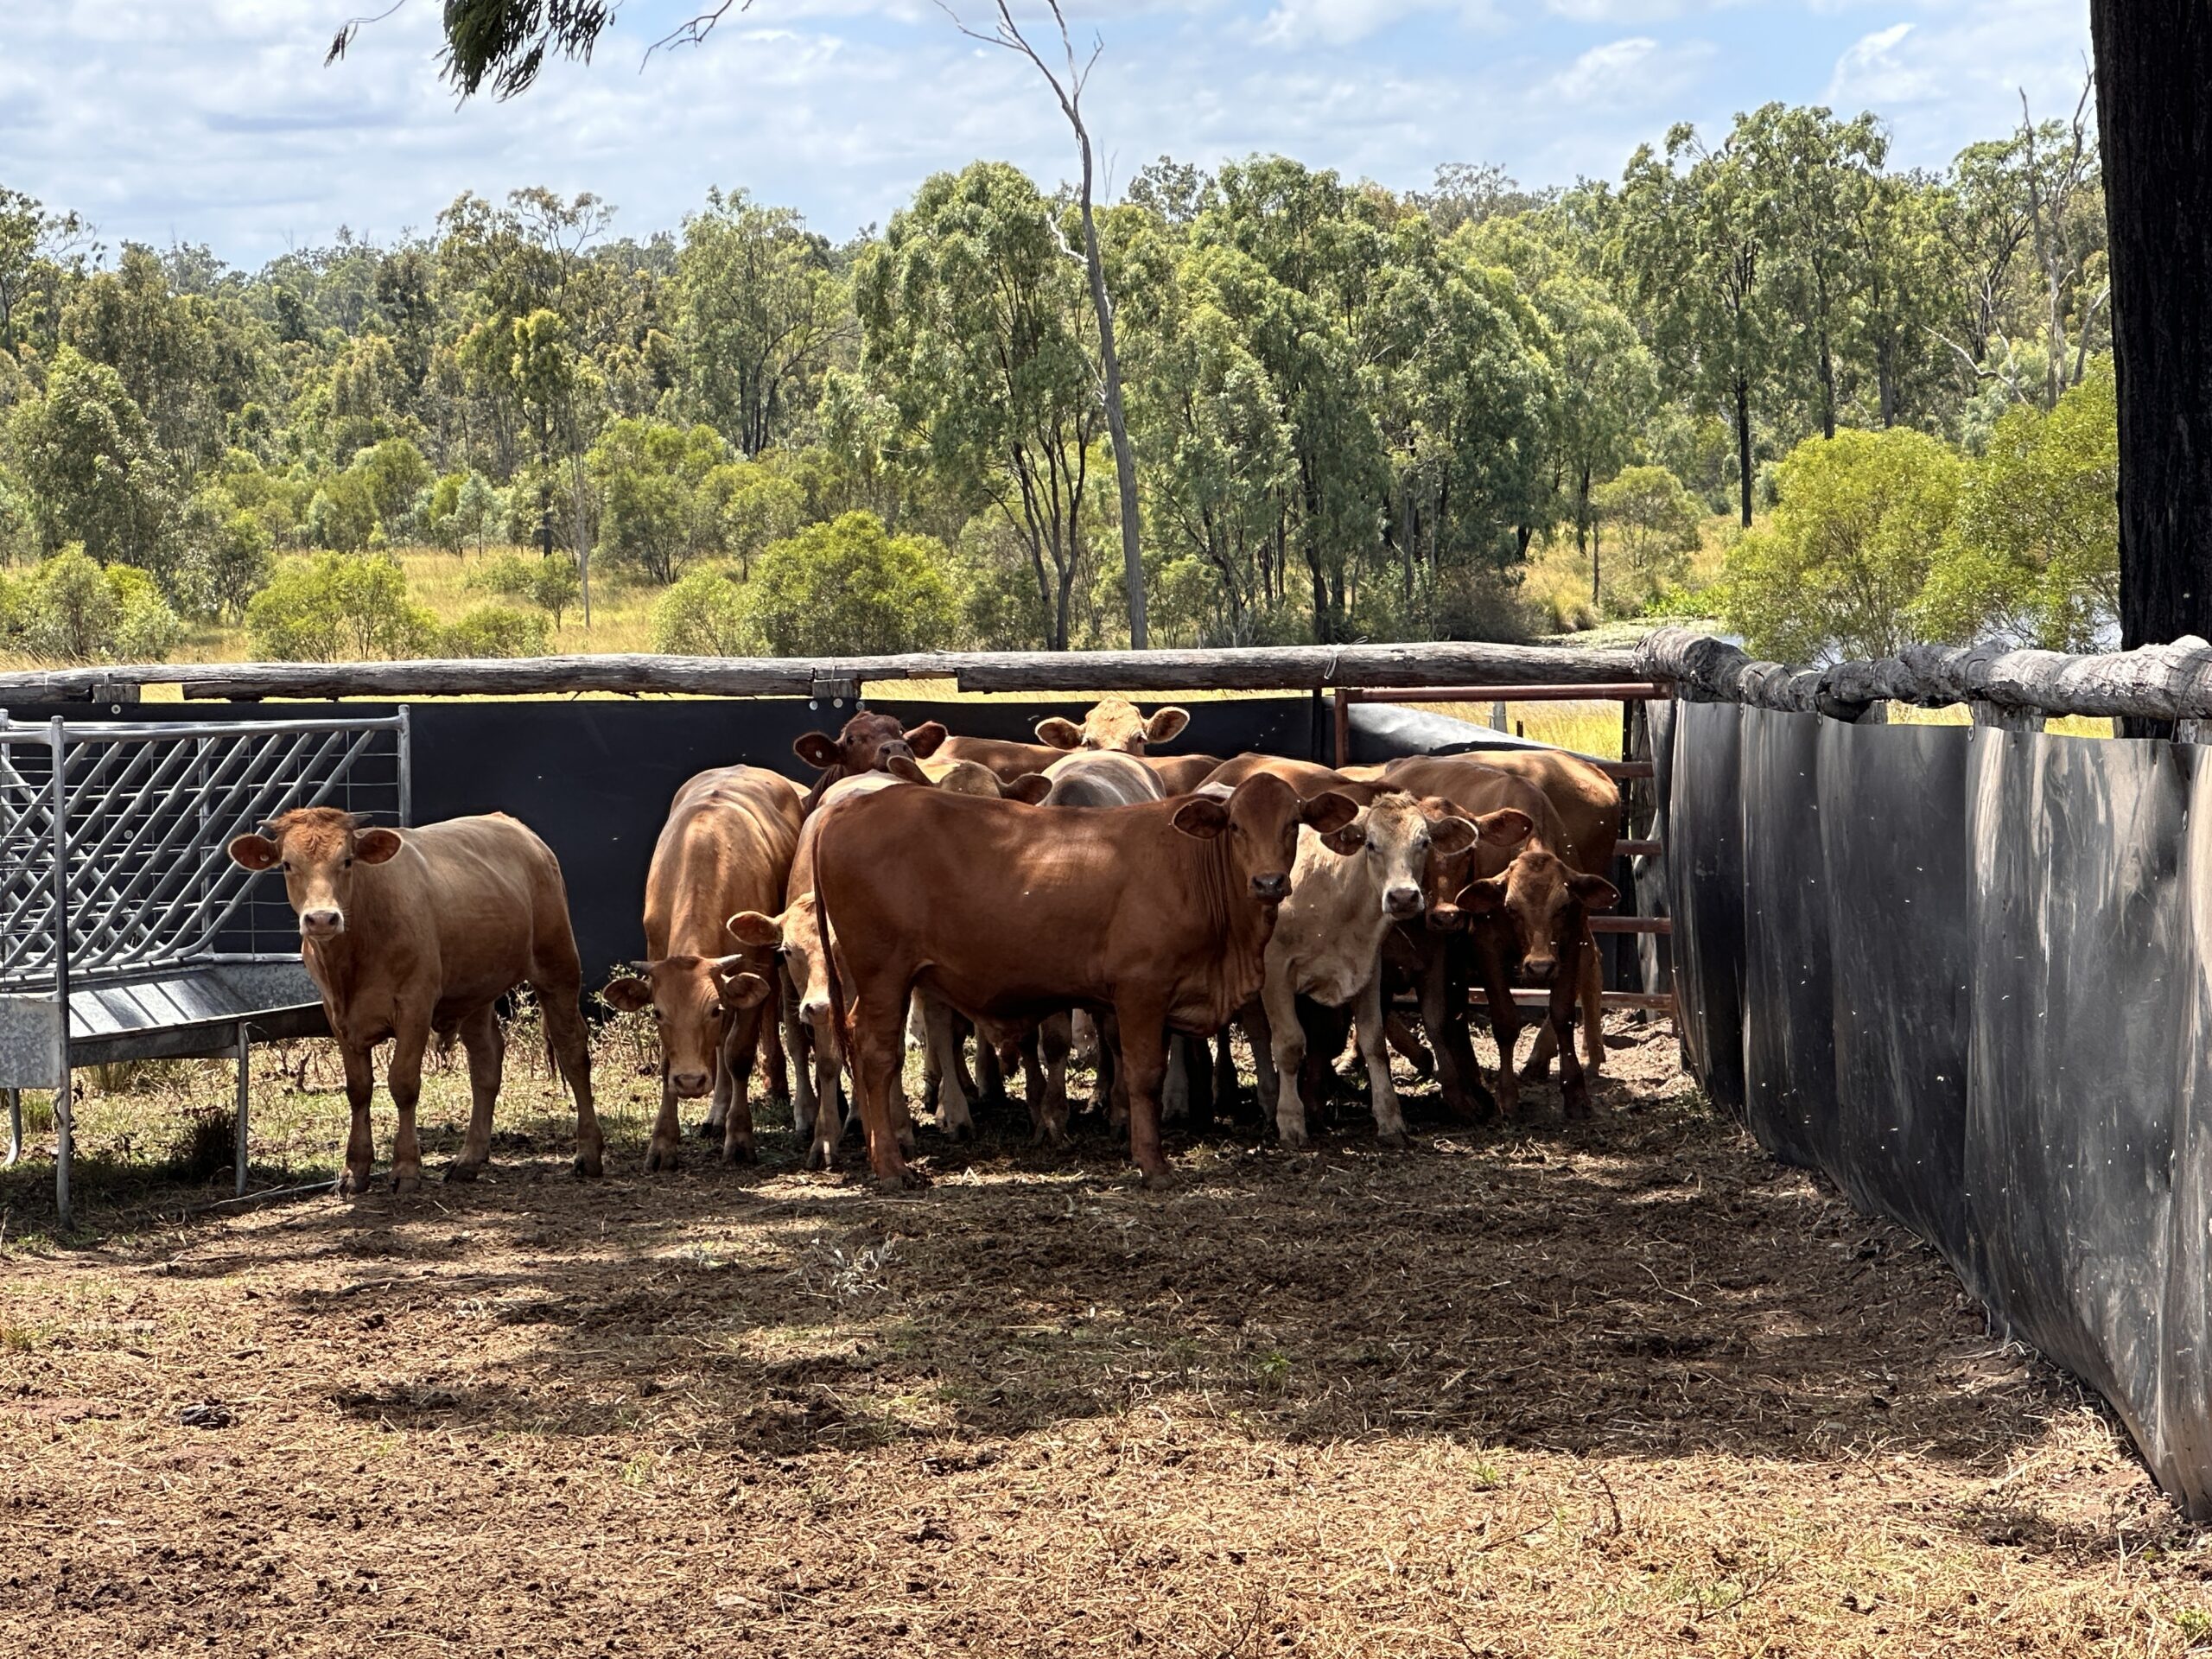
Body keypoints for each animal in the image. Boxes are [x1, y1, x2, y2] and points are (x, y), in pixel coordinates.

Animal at [226, 808, 602, 1195]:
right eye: (287, 864)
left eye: (347, 861)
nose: (321, 919)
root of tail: (511, 824)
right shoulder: (337, 1014)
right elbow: (358, 1089)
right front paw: (354, 1170)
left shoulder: (415, 1004)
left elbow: (403, 1083)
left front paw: (406, 1168)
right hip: (476, 989)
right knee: (486, 1062)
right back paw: (469, 1159)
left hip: (557, 963)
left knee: (572, 1048)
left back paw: (588, 1154)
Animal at [600, 766, 801, 1170]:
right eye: (657, 1013)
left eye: (713, 1009)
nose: (691, 1082)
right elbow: (667, 1062)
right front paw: (663, 1143)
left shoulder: (754, 972)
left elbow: (739, 1053)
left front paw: (739, 1137)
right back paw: (716, 1114)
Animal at [812, 774, 1358, 1187]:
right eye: (1236, 827)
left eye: (1293, 825)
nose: (1268, 883)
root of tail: (848, 810)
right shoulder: (1142, 991)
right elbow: (1145, 1076)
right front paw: (1153, 1164)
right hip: (885, 975)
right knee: (877, 1054)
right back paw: (892, 1166)